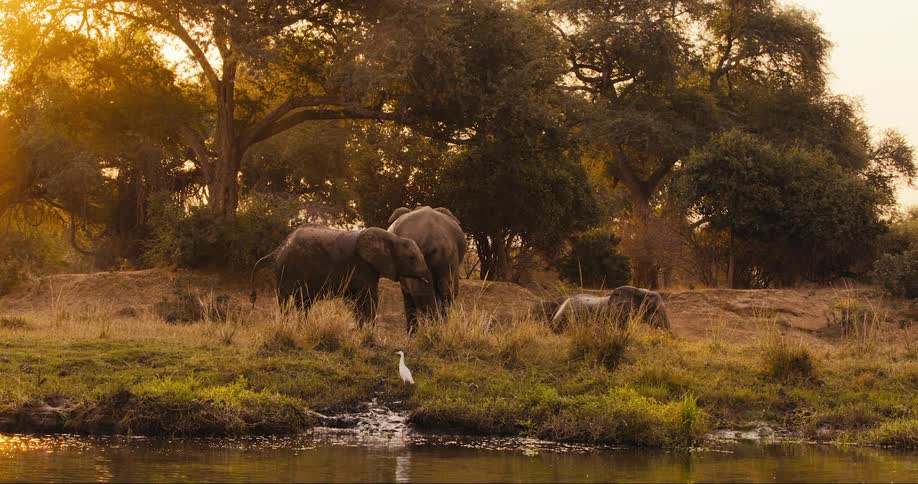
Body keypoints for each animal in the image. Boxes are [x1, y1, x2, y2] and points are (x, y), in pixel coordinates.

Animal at [249, 225, 431, 326]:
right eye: (412, 258)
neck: (392, 237)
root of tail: (278, 250)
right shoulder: (362, 267)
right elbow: (369, 298)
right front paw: (367, 332)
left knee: (303, 303)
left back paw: (302, 327)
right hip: (287, 271)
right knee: (286, 302)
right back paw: (287, 326)